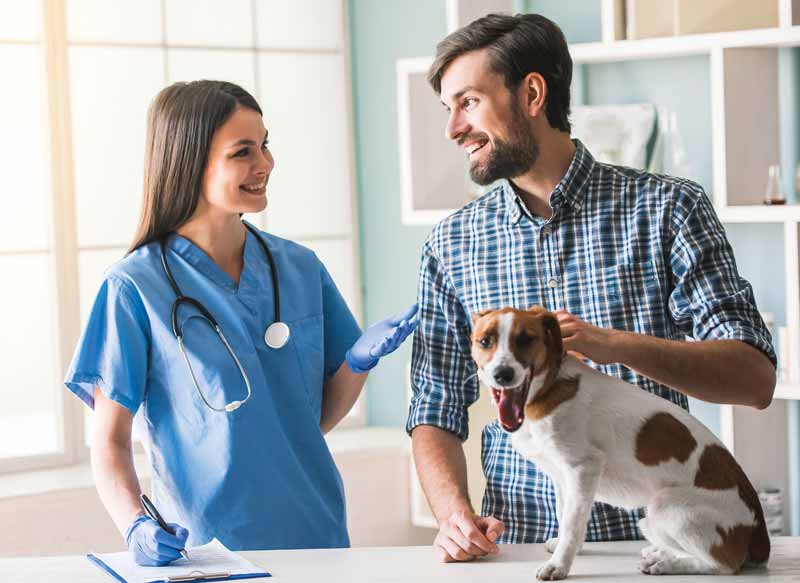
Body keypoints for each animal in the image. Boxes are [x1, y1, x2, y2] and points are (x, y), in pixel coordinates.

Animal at [468, 308, 768, 580]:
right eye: (485, 341)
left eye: (525, 339)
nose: (503, 374)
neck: (548, 388)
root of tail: (759, 534)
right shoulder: (562, 476)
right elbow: (566, 514)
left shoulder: (583, 468)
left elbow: (572, 523)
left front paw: (560, 564)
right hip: (653, 520)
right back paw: (661, 554)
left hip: (665, 508)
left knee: (723, 565)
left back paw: (666, 564)